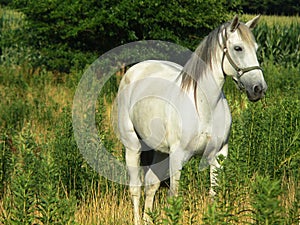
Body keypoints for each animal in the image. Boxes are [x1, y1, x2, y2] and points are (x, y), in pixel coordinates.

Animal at [116, 14, 268, 224]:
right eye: (238, 48)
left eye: (256, 48)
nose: (258, 89)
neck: (204, 106)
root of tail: (135, 70)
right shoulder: (178, 156)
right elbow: (174, 197)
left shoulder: (218, 155)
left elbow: (213, 194)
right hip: (133, 146)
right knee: (135, 188)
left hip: (160, 150)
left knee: (151, 185)